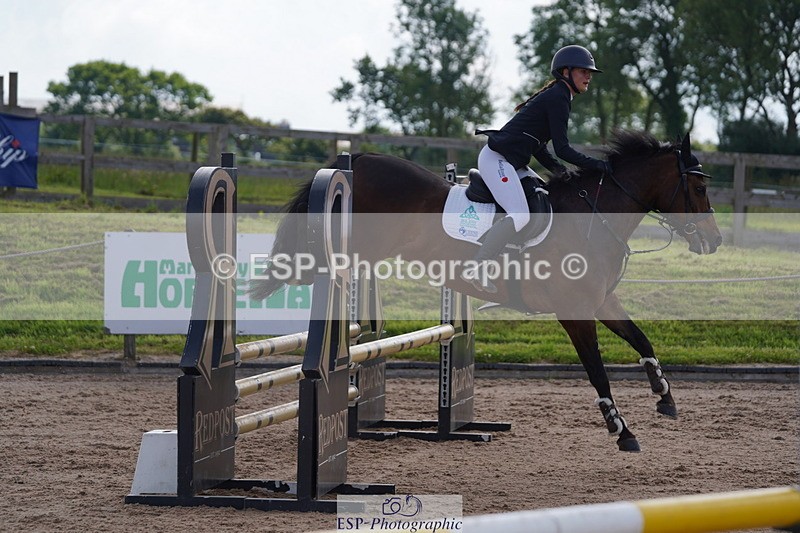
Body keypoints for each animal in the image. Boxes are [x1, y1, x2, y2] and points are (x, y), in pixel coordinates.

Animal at [250, 130, 722, 452]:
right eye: (700, 188)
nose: (714, 242)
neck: (595, 217)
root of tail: (359, 161)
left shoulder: (602, 301)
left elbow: (641, 340)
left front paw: (665, 398)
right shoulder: (574, 313)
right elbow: (597, 371)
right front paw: (622, 431)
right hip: (354, 250)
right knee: (319, 272)